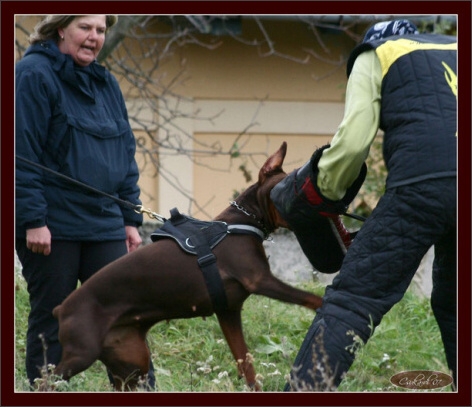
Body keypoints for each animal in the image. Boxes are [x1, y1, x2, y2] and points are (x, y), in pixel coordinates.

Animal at [52, 141, 324, 392]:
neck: (244, 220)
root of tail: (61, 308)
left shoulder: (228, 311)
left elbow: (246, 366)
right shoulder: (259, 279)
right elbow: (310, 297)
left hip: (131, 360)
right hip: (82, 353)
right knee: (47, 378)